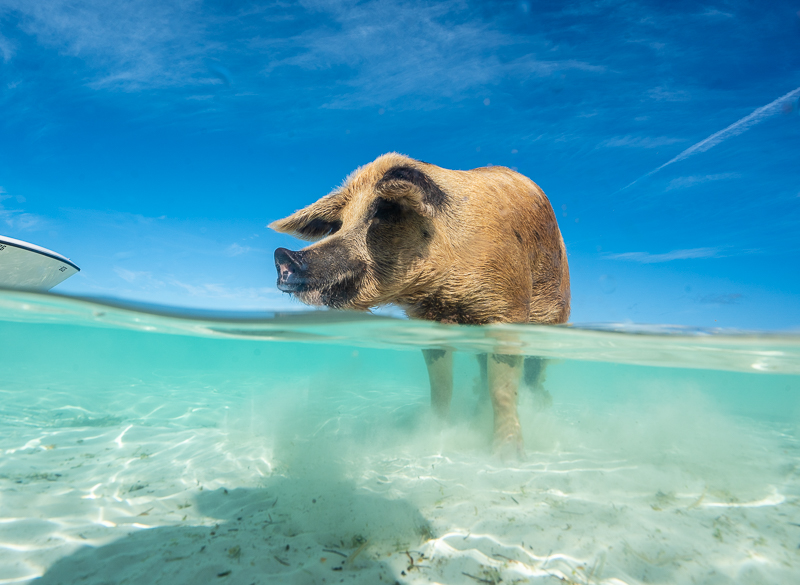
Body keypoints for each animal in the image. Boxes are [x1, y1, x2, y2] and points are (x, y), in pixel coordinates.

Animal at [270, 153, 568, 454]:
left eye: (385, 211)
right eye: (338, 225)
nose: (283, 256)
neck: (445, 296)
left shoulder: (509, 311)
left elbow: (503, 389)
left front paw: (508, 455)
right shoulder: (428, 324)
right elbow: (441, 387)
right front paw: (431, 434)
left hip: (554, 316)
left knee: (533, 372)